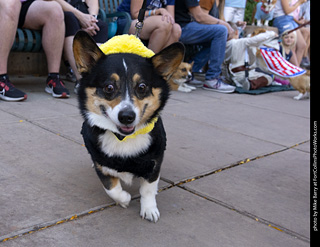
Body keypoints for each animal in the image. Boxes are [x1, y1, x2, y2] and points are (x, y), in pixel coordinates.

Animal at [71, 30, 184, 222]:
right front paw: (124, 199)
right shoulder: (101, 162)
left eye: (142, 87)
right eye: (109, 87)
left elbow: (148, 189)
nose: (127, 117)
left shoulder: (153, 162)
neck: (123, 138)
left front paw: (149, 209)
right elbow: (111, 186)